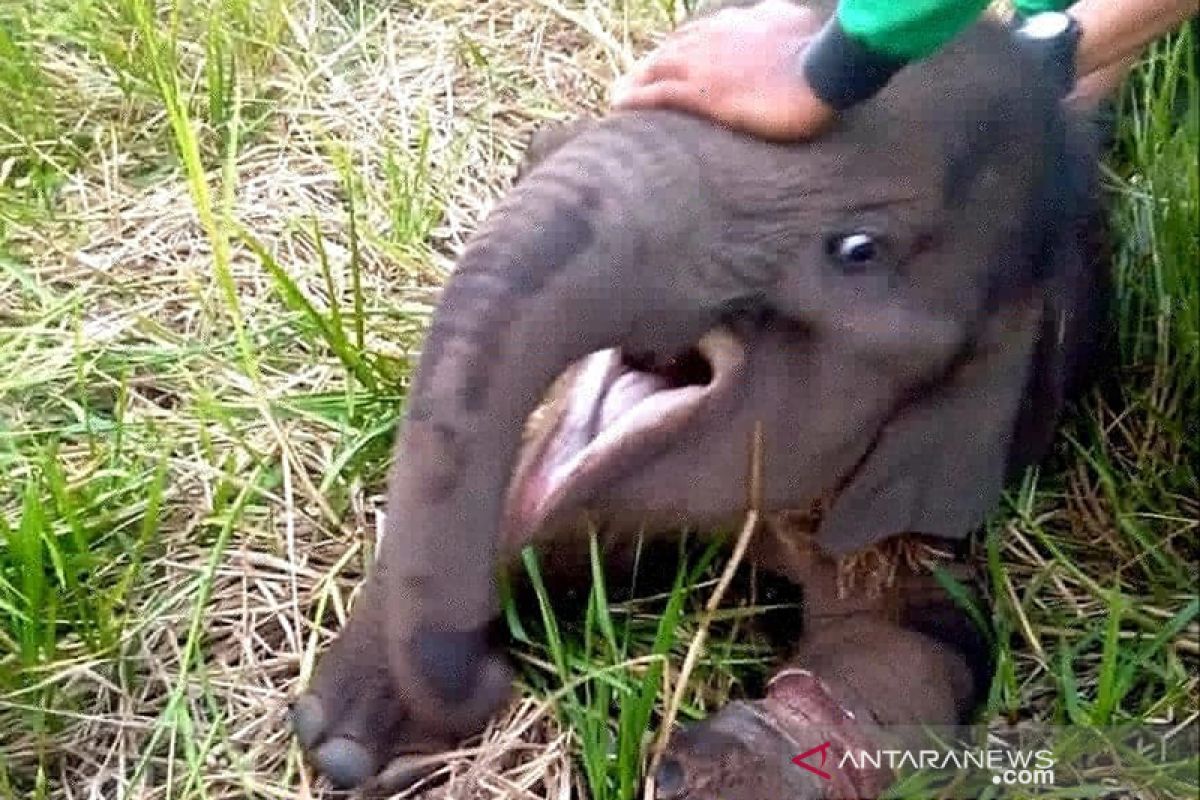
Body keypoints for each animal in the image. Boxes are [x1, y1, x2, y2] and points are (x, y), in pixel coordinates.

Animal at [288, 3, 1104, 796]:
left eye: (858, 251)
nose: (494, 678)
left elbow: (921, 641)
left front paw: (701, 772)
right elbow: (545, 511)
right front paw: (351, 736)